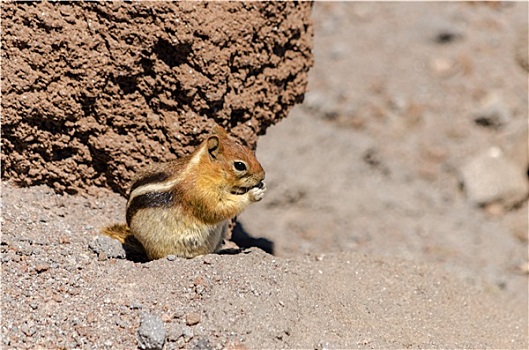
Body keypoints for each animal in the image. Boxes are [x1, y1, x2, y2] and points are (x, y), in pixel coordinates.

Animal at [102, 126, 266, 260]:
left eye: (248, 150)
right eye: (239, 165)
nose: (263, 176)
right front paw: (253, 194)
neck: (204, 171)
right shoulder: (200, 195)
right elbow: (219, 209)